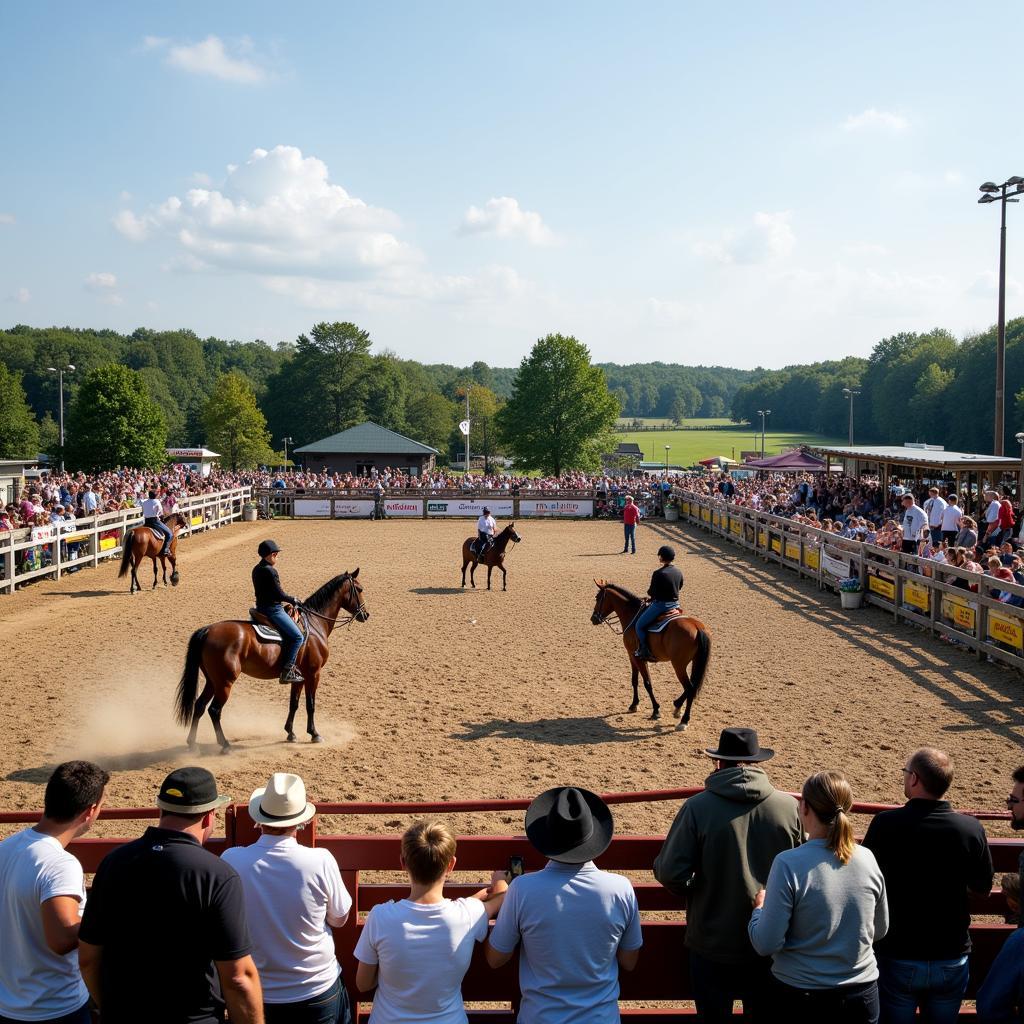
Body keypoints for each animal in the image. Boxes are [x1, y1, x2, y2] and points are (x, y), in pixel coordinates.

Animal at [175, 569, 368, 753]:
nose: (365, 614)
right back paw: (225, 745)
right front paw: (314, 734)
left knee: (199, 706)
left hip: (212, 681)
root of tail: (208, 630)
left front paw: (290, 733)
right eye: (359, 589)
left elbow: (294, 704)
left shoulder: (299, 677)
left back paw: (192, 744)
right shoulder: (314, 673)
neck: (314, 625)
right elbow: (310, 704)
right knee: (214, 711)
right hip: (225, 683)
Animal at [593, 577, 712, 729]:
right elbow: (636, 680)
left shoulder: (634, 656)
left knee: (690, 688)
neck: (633, 614)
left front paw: (654, 710)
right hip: (695, 662)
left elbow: (646, 682)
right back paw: (677, 707)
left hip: (679, 665)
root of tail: (697, 627)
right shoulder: (635, 657)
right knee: (692, 687)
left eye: (597, 598)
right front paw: (635, 705)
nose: (593, 618)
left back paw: (683, 720)